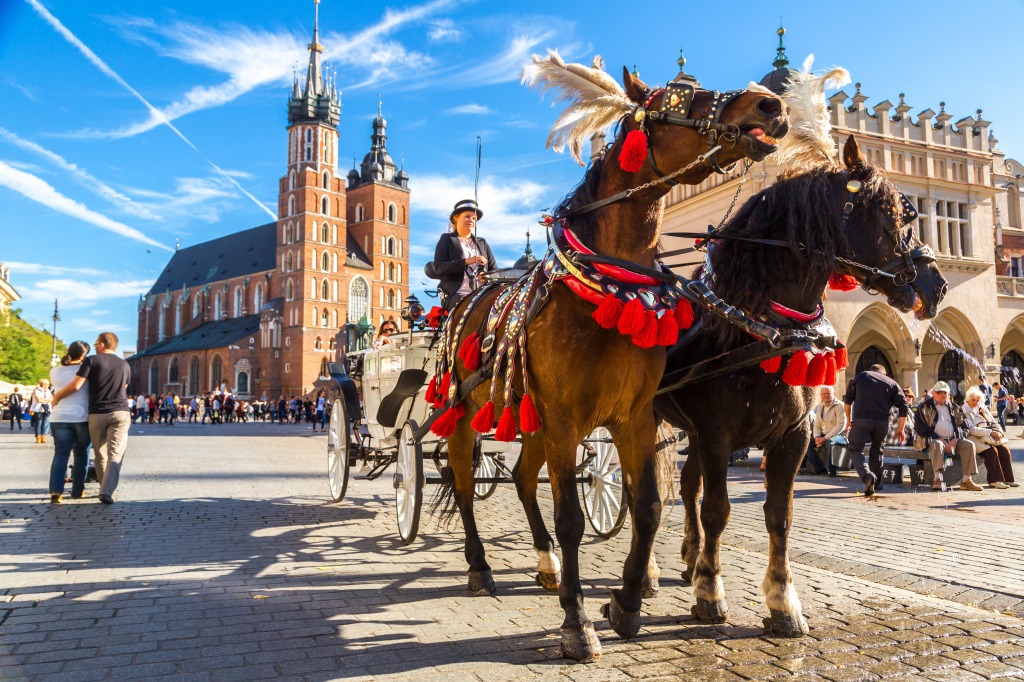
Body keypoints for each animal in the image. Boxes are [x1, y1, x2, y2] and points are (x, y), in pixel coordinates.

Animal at [434, 55, 790, 659]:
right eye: (675, 98)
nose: (771, 104)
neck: (611, 290)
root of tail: (472, 294)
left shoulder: (633, 417)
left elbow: (646, 507)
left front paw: (625, 605)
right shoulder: (564, 418)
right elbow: (572, 518)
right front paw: (578, 623)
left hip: (534, 423)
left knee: (524, 480)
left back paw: (547, 565)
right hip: (466, 411)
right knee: (462, 482)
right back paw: (480, 568)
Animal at [651, 135, 946, 634]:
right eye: (897, 213)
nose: (938, 285)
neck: (763, 329)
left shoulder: (793, 436)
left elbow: (779, 515)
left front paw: (782, 601)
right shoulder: (715, 435)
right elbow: (718, 510)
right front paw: (711, 592)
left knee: (686, 486)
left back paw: (690, 557)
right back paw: (654, 571)